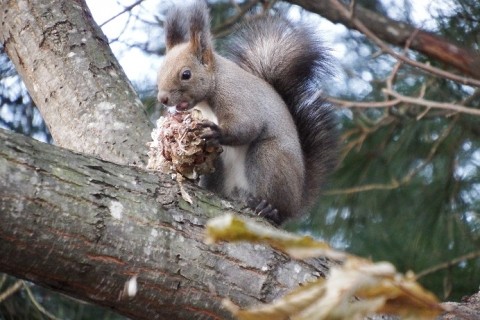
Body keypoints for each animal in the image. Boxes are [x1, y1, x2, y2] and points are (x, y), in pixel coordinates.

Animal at [158, 0, 338, 225]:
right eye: (159, 72)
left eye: (186, 74)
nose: (162, 99)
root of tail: (297, 202)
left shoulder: (236, 96)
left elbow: (247, 125)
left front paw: (216, 132)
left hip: (269, 158)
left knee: (278, 208)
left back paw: (269, 209)